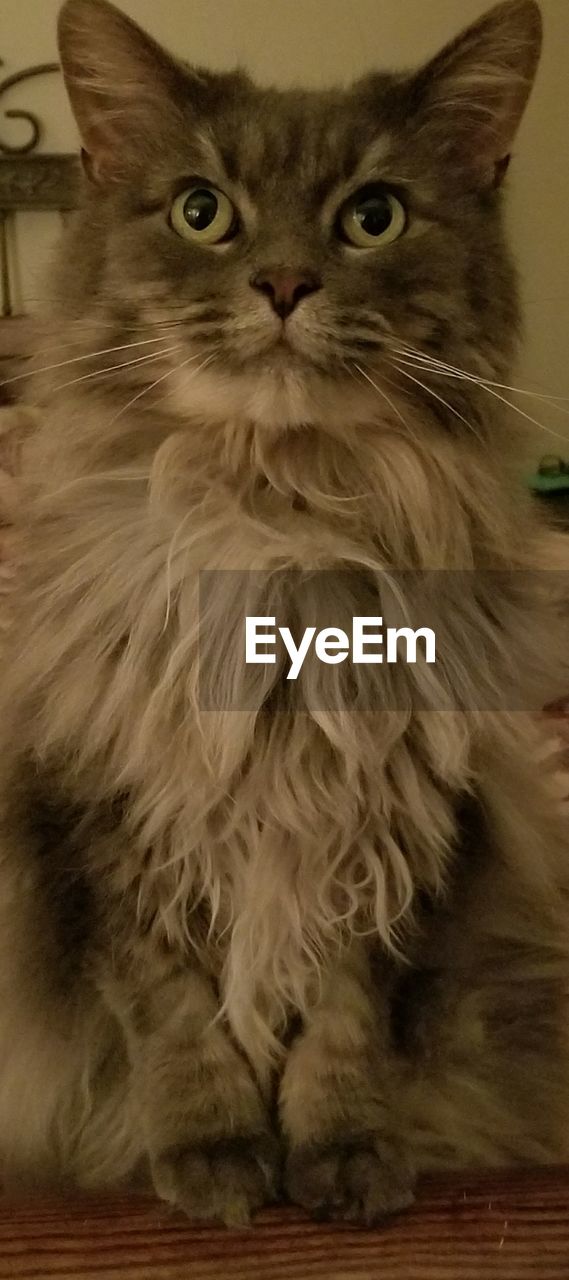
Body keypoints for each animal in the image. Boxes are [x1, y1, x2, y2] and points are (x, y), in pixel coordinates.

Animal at [1, 0, 567, 1228]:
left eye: (372, 216)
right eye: (200, 211)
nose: (284, 284)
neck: (277, 516)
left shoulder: (400, 823)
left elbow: (347, 1020)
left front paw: (345, 1152)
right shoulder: (105, 819)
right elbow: (172, 1013)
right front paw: (212, 1154)